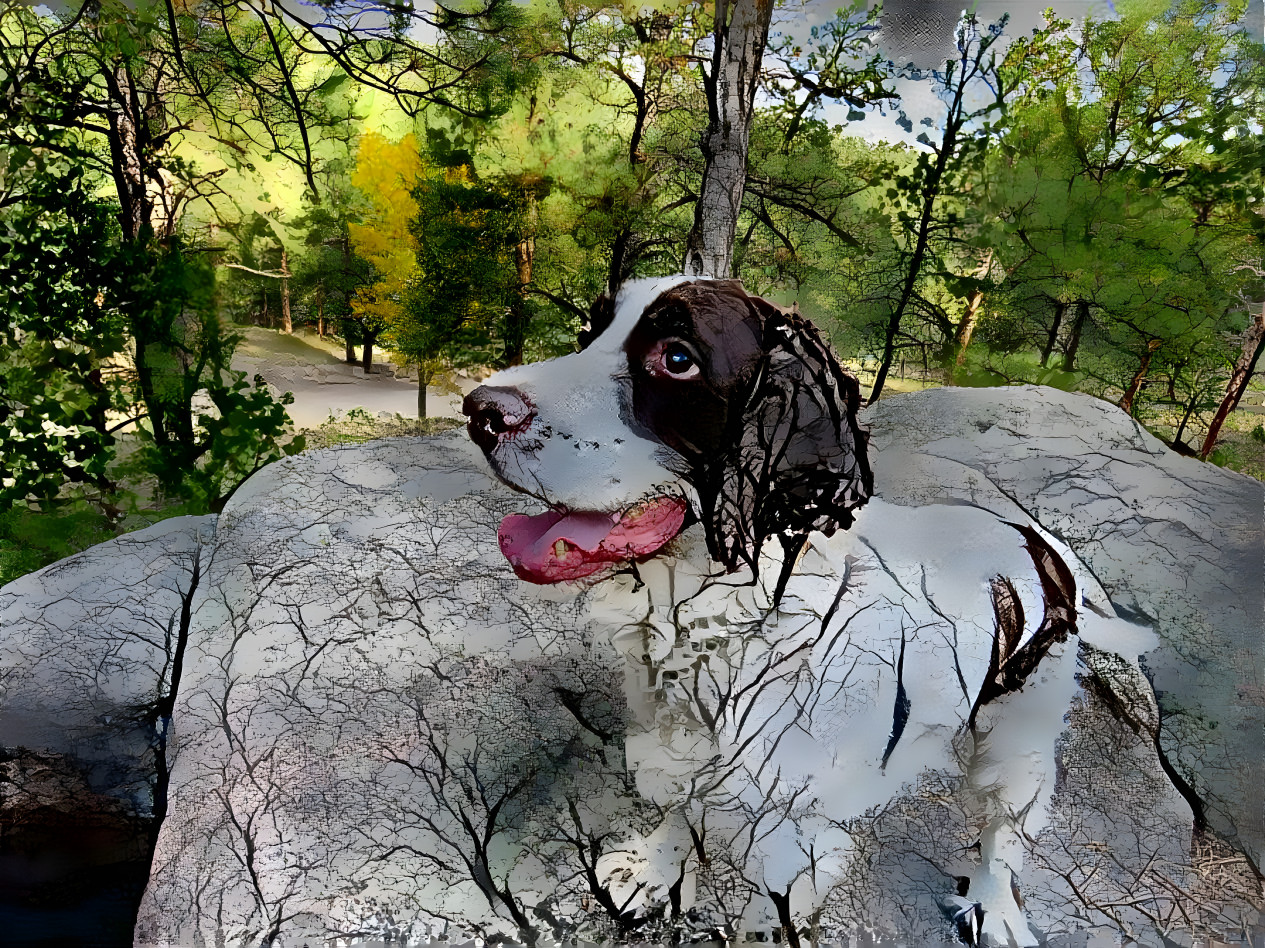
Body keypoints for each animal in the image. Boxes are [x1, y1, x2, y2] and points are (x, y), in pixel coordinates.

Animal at [460, 277, 1158, 941]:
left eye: (678, 358)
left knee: (1002, 834)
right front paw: (650, 870)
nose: (479, 411)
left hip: (1021, 738)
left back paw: (997, 908)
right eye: (589, 332)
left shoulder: (796, 838)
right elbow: (682, 807)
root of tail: (1039, 541)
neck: (731, 627)